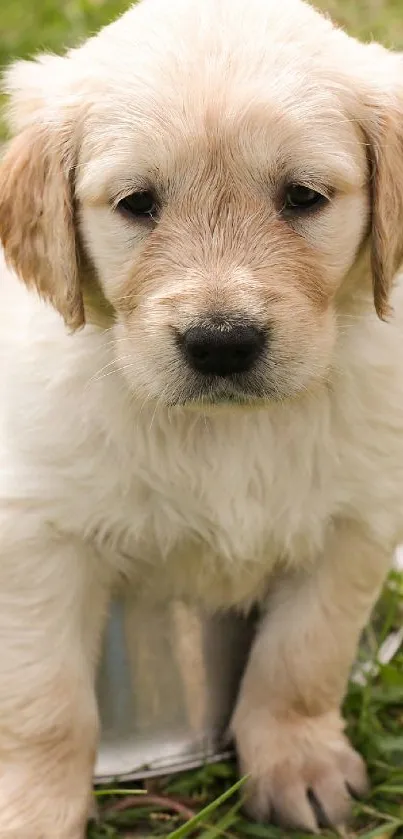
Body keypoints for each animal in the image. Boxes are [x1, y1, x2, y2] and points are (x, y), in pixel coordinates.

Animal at [0, 0, 403, 836]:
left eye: (302, 196)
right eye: (137, 204)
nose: (222, 343)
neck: (227, 429)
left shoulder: (356, 518)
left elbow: (301, 657)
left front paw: (297, 762)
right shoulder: (33, 534)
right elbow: (45, 700)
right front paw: (32, 810)